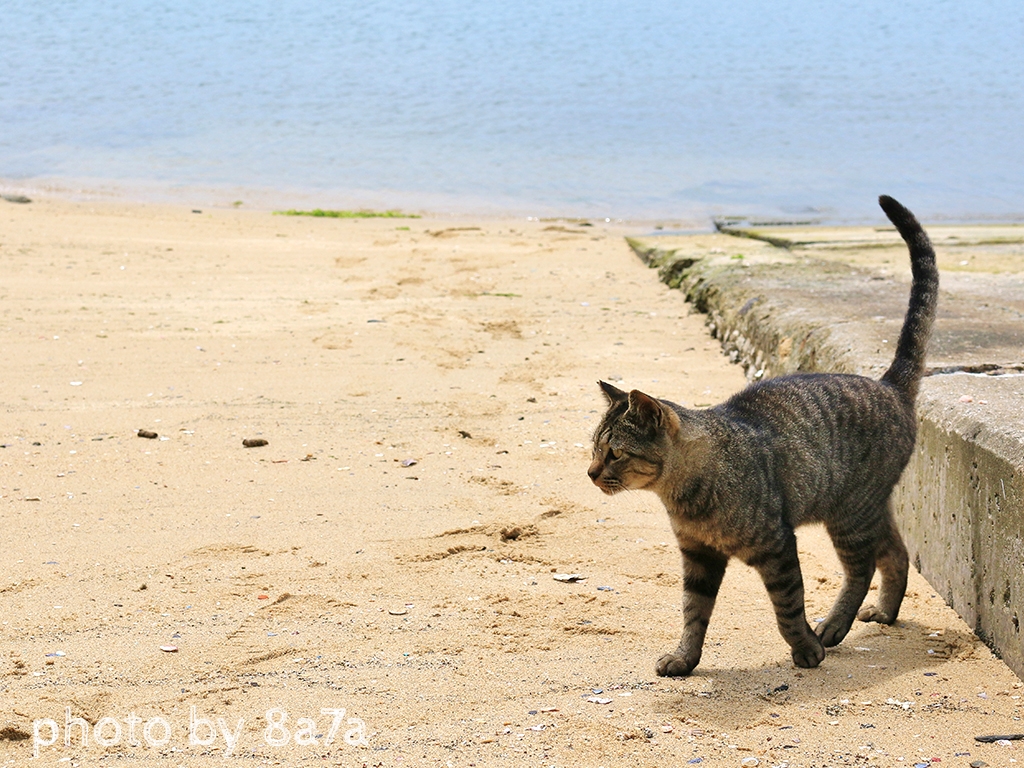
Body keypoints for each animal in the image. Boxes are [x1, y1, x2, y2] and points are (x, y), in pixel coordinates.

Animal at [589, 195, 937, 675]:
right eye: (594, 449)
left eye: (615, 453)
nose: (589, 472)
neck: (684, 494)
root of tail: (888, 384)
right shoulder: (698, 556)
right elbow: (693, 612)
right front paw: (684, 657)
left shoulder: (777, 546)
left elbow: (788, 609)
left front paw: (806, 649)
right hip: (863, 508)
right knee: (896, 553)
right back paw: (884, 612)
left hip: (850, 515)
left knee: (861, 568)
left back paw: (833, 627)